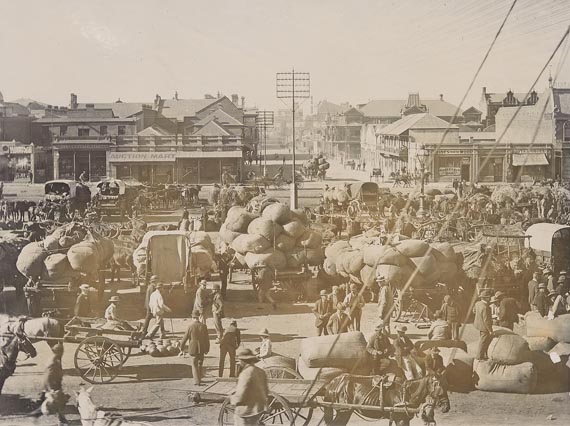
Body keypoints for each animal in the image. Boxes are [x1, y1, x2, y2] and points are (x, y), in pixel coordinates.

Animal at [320, 372, 448, 426]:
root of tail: (332, 383)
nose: (447, 406)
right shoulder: (400, 419)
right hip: (343, 411)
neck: (405, 393)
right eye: (439, 385)